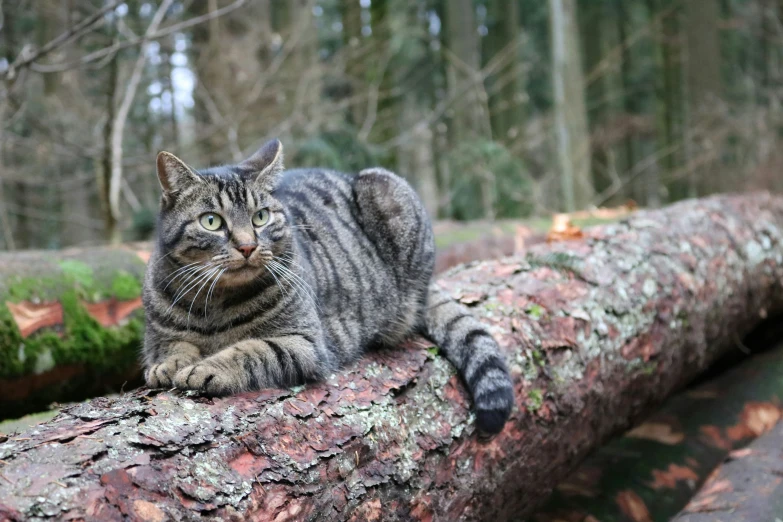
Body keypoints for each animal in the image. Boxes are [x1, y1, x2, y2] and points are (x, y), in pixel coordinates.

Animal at [142, 140, 516, 432]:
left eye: (260, 217)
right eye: (212, 221)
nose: (248, 246)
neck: (216, 302)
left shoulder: (304, 344)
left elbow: (250, 350)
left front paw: (206, 368)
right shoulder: (158, 337)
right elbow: (173, 347)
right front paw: (169, 365)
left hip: (386, 188)